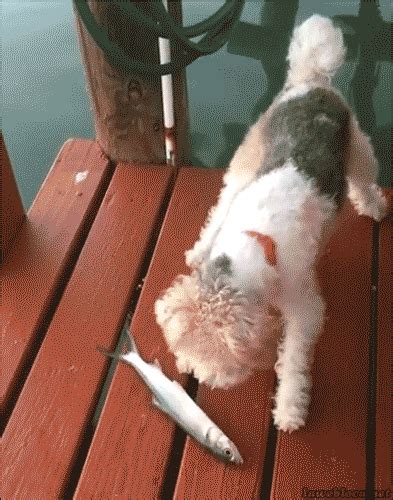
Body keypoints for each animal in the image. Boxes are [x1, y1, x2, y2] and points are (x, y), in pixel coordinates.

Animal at [154, 14, 386, 430]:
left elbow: (293, 360)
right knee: (221, 203)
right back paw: (199, 248)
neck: (254, 243)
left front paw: (290, 408)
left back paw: (374, 205)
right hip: (246, 162)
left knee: (363, 182)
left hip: (360, 153)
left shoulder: (304, 308)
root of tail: (311, 79)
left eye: (218, 352)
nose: (199, 377)